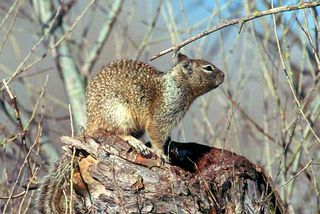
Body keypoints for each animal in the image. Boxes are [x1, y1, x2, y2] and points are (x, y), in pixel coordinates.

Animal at [85, 52, 225, 159]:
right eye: (208, 68)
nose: (223, 75)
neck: (177, 82)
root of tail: (90, 122)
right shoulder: (163, 112)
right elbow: (156, 131)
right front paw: (161, 153)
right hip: (118, 113)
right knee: (117, 132)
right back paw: (137, 143)